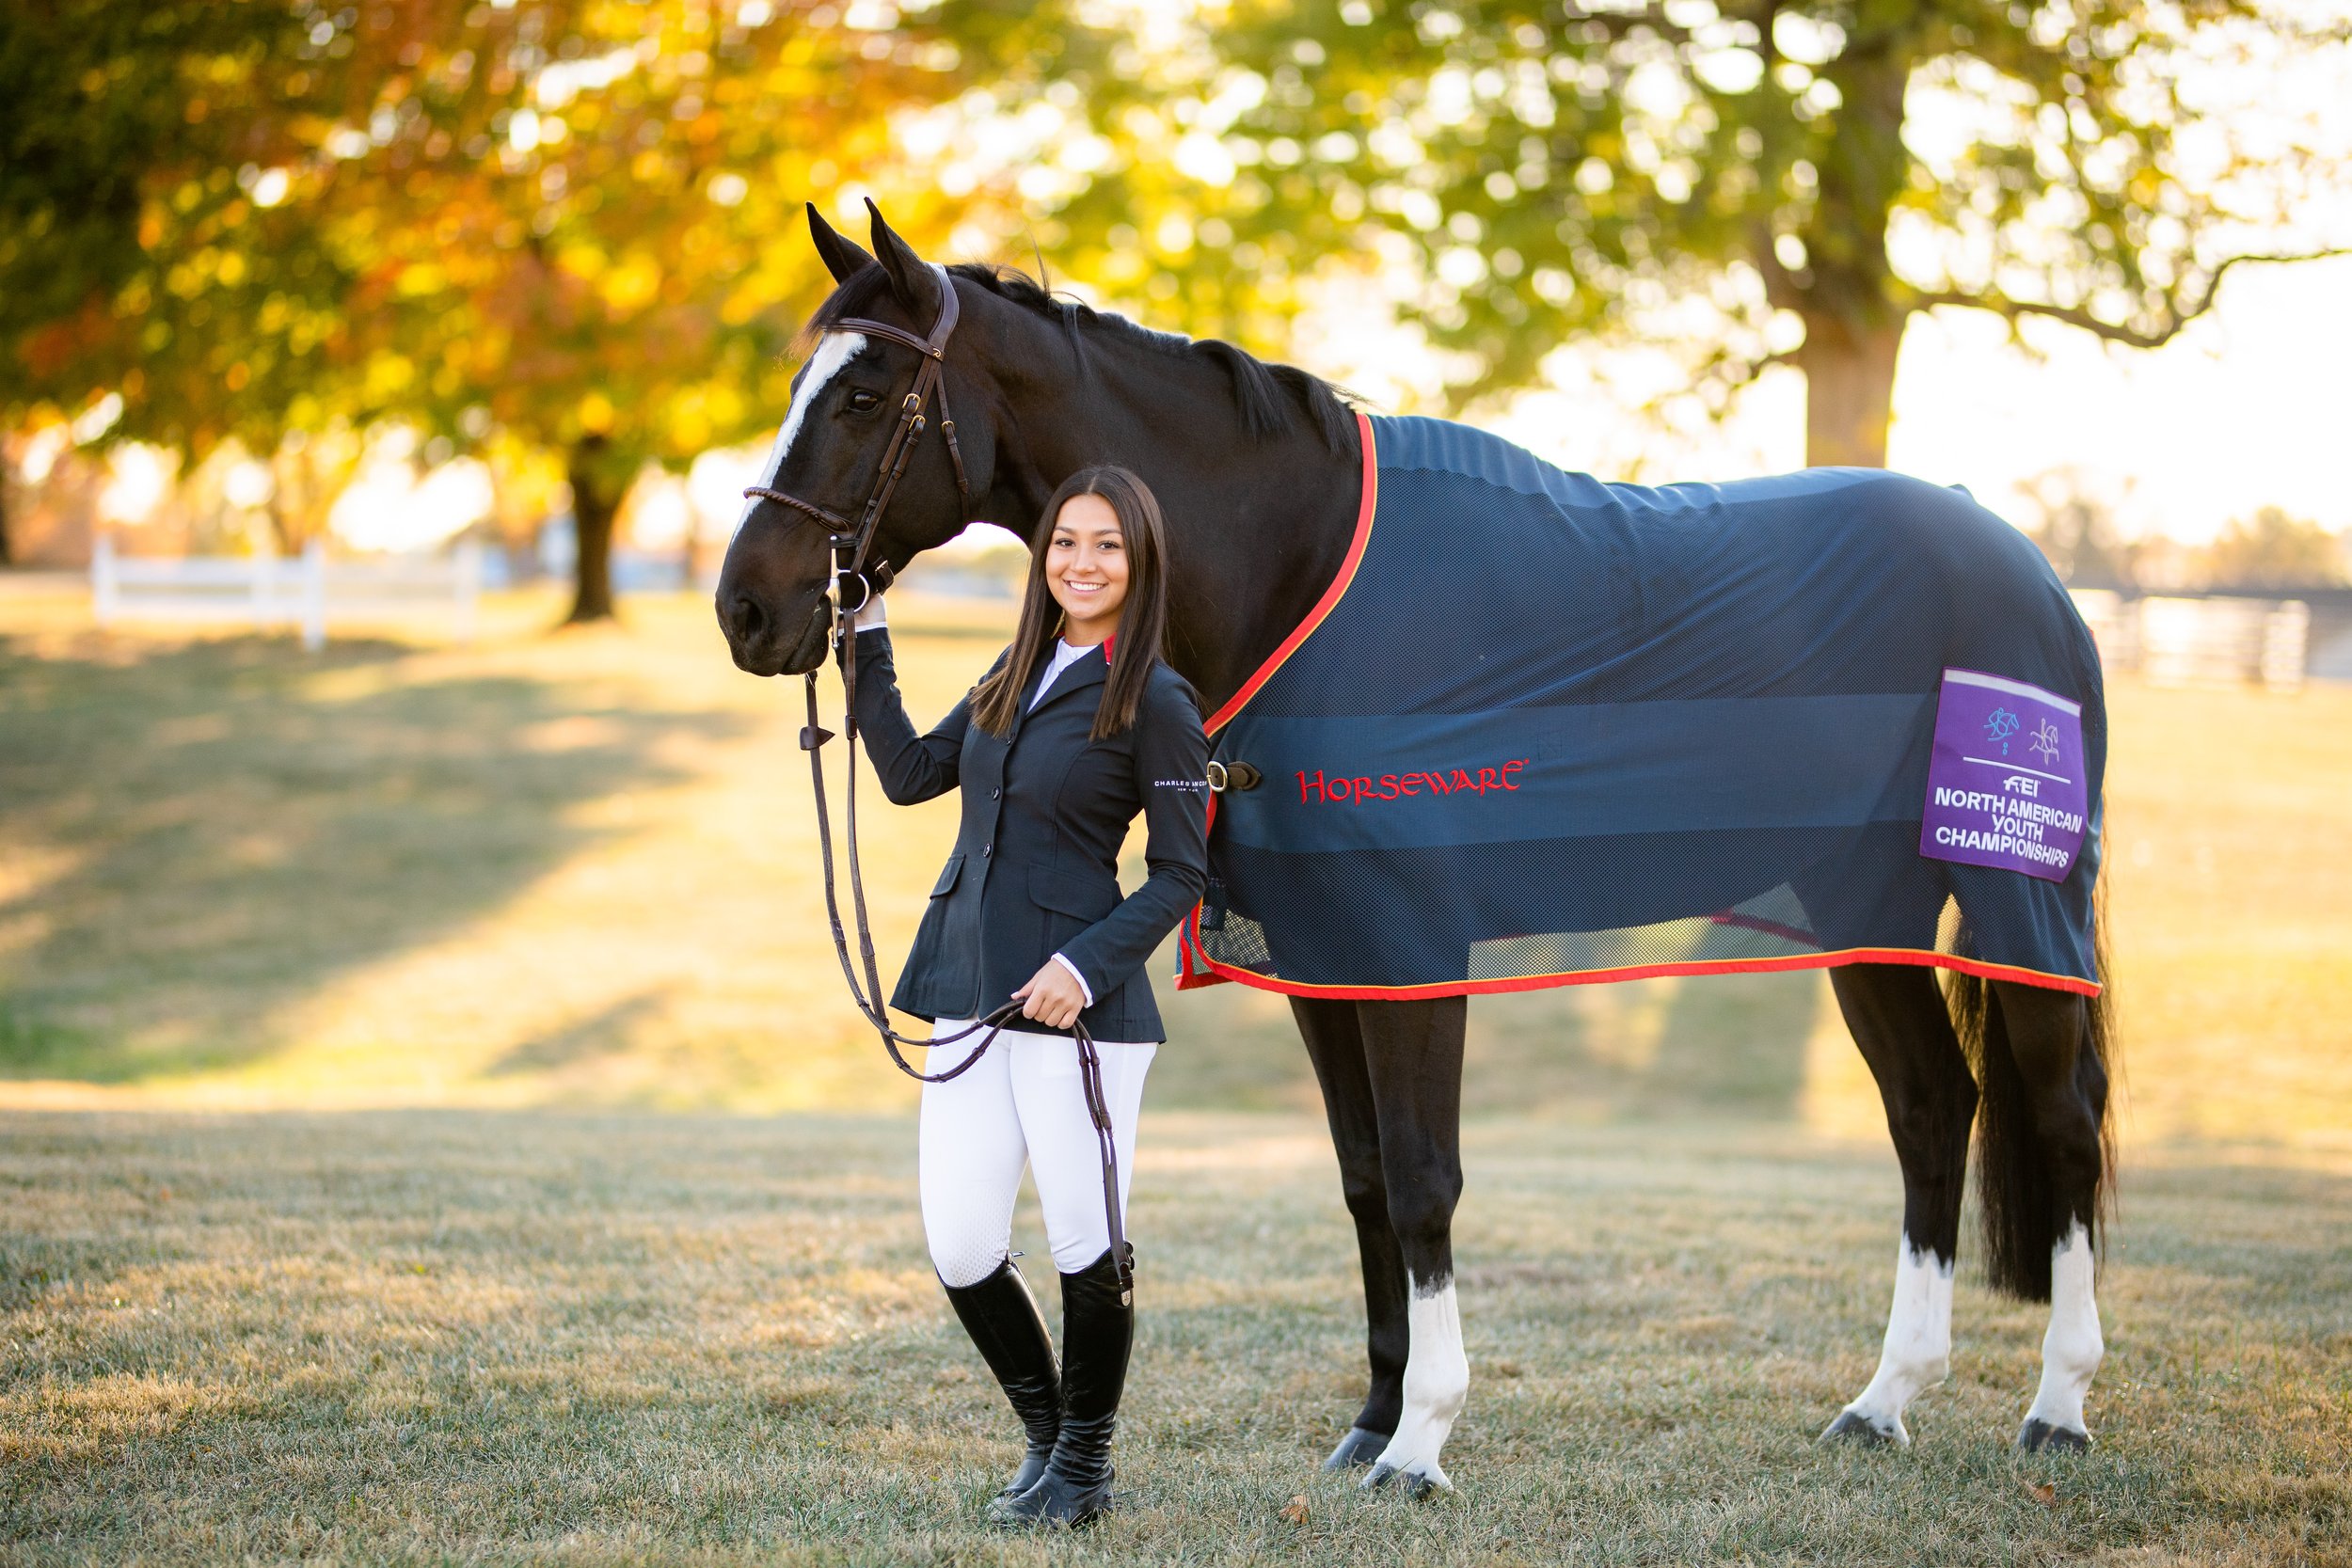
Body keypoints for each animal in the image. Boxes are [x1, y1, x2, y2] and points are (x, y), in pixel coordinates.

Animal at [714, 202, 2116, 1495]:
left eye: (866, 394)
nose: (748, 607)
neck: (1300, 573)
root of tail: (2027, 567)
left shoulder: (1409, 951)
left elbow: (1429, 1178)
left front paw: (1423, 1442)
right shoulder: (1326, 957)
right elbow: (1367, 1180)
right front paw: (1374, 1419)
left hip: (2016, 900)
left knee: (2059, 1114)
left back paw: (2057, 1404)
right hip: (1859, 908)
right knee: (1932, 1110)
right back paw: (1884, 1399)